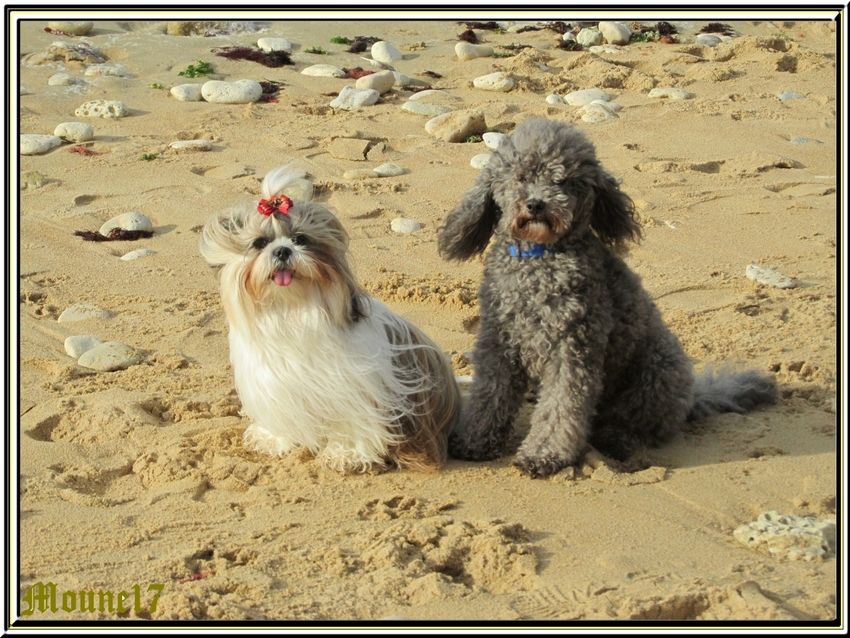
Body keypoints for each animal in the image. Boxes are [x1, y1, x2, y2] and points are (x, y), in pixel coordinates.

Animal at [200, 166, 460, 476]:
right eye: (259, 243)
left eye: (301, 239)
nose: (282, 251)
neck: (292, 308)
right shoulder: (274, 383)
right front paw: (274, 439)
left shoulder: (356, 389)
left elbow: (355, 425)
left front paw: (347, 454)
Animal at [438, 119, 776, 480]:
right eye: (520, 177)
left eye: (563, 182)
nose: (536, 205)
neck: (538, 258)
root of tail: (692, 398)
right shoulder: (498, 347)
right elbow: (490, 397)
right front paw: (474, 440)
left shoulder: (572, 349)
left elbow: (560, 409)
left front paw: (544, 454)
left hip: (656, 371)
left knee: (637, 424)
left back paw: (617, 444)